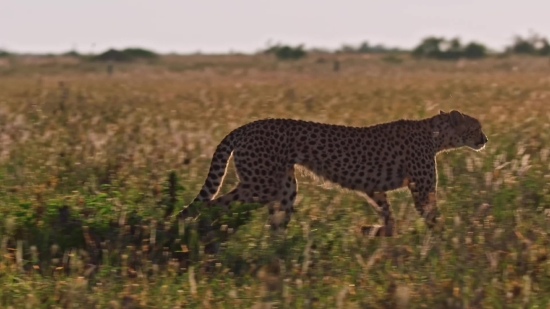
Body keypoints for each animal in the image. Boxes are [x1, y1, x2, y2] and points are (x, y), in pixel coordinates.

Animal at [179, 109, 490, 237]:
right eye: (475, 127)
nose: (485, 139)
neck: (436, 135)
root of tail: (246, 126)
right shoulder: (422, 190)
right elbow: (432, 217)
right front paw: (448, 244)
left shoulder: (373, 187)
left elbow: (387, 214)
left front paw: (375, 231)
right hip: (261, 185)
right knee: (211, 203)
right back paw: (201, 231)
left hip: (284, 187)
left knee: (276, 222)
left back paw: (280, 254)